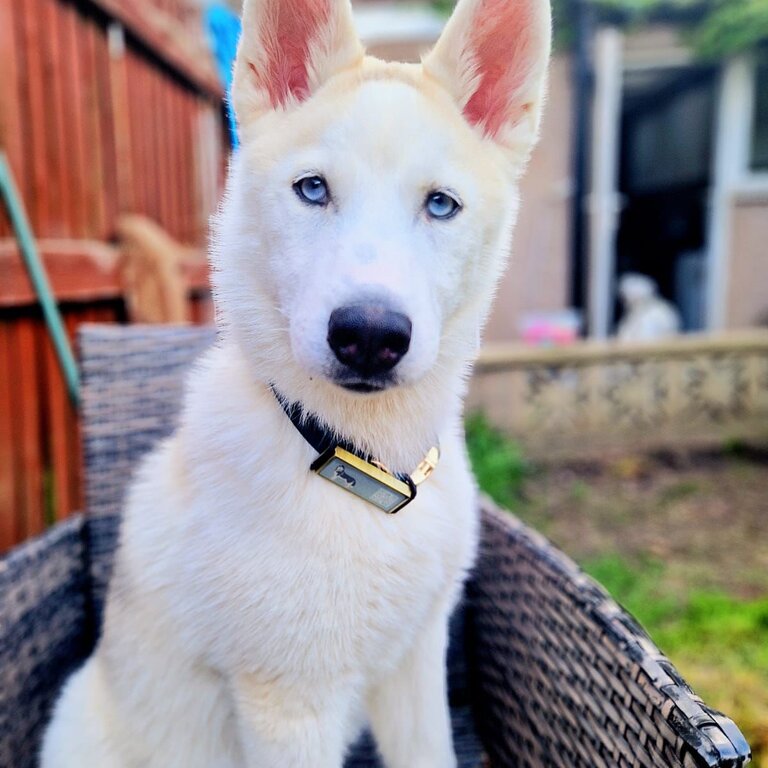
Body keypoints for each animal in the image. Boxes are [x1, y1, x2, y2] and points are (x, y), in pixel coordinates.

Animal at [42, 0, 548, 764]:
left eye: (441, 205)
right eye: (313, 190)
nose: (369, 336)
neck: (364, 467)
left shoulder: (417, 665)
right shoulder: (289, 708)